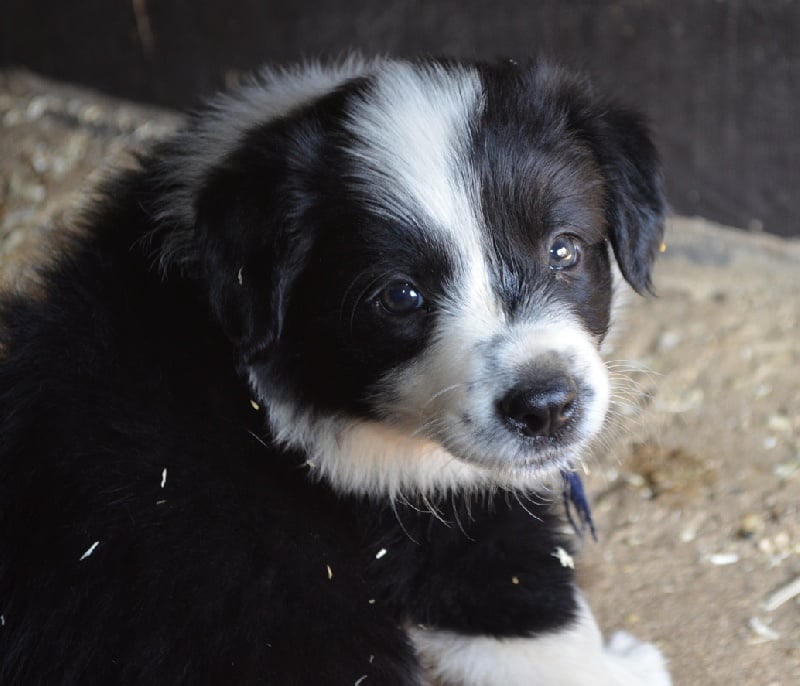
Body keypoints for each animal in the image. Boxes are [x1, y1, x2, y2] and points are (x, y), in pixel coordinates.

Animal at [0, 59, 668, 686]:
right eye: (400, 296)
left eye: (564, 249)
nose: (546, 406)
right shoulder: (433, 526)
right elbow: (543, 618)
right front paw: (625, 667)